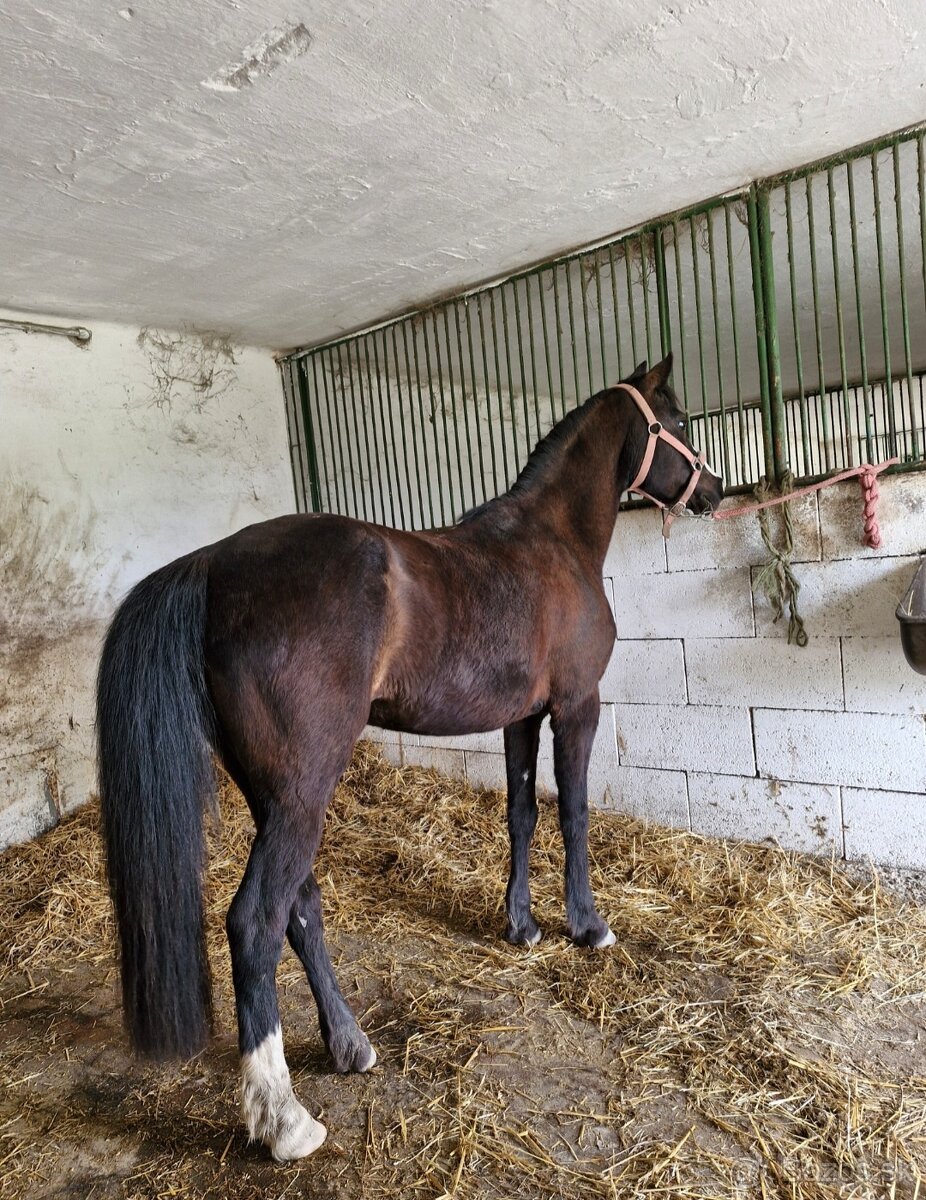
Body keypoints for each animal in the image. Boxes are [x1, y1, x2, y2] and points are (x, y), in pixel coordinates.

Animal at [96, 353, 723, 1162]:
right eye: (675, 420)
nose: (716, 490)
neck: (552, 543)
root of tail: (211, 566)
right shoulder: (576, 706)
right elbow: (575, 814)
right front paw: (587, 925)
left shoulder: (520, 718)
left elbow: (521, 813)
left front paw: (521, 925)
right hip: (302, 791)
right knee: (255, 922)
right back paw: (283, 1117)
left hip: (278, 794)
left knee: (300, 908)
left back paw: (349, 1045)